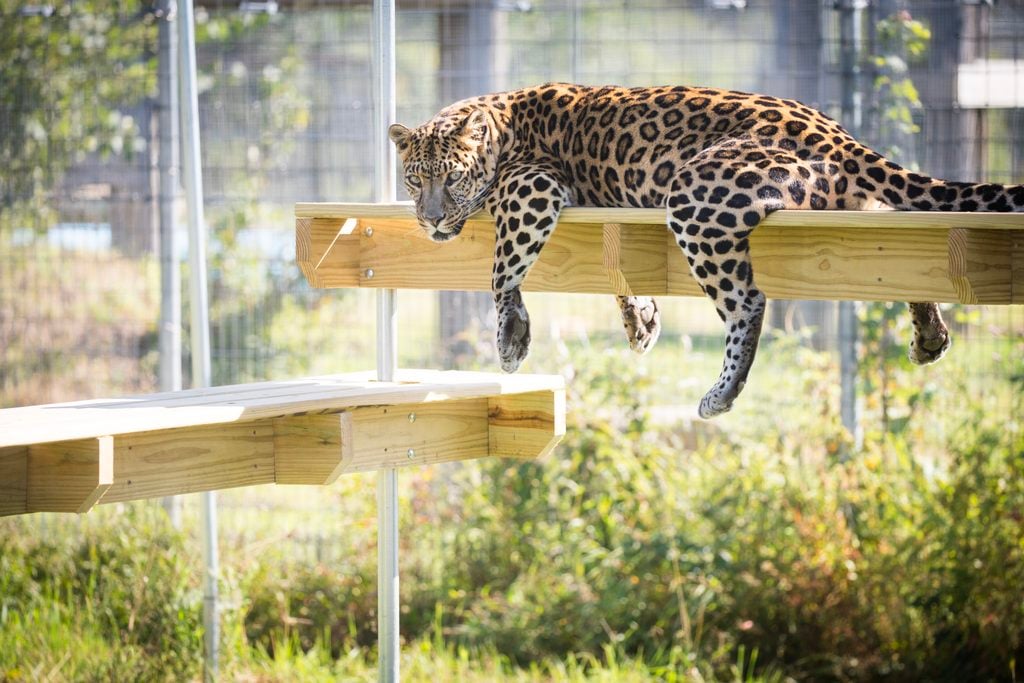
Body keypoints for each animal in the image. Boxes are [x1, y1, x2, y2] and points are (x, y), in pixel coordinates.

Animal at [389, 83, 1024, 418]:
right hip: (847, 203)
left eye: (452, 179)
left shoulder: (532, 186)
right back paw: (930, 334)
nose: (431, 219)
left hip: (694, 195)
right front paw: (640, 319)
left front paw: (511, 335)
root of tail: (838, 135)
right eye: (415, 180)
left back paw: (722, 391)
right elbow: (616, 275)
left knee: (748, 301)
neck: (497, 123)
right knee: (896, 235)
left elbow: (501, 268)